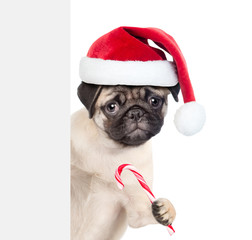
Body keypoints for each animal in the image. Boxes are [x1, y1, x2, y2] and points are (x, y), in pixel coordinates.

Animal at [70, 81, 179, 239]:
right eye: (112, 107)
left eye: (154, 101)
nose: (136, 113)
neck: (111, 148)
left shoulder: (137, 212)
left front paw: (166, 210)